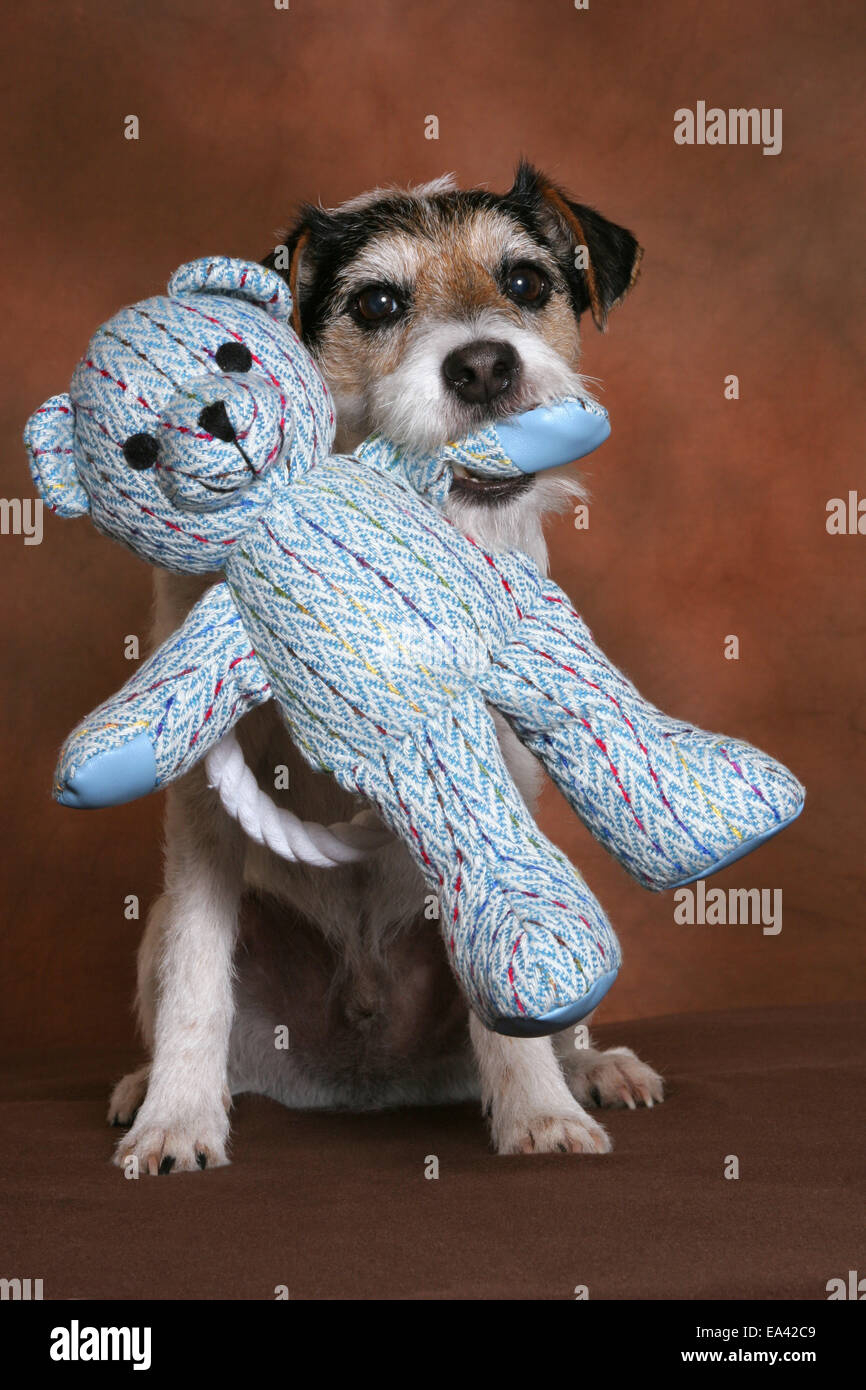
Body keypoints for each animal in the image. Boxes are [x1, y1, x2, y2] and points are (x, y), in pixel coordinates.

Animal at [108, 162, 664, 1173]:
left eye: (525, 281)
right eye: (376, 302)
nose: (484, 366)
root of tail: (368, 1079)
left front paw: (539, 1111)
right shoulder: (204, 801)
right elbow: (197, 976)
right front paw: (177, 1118)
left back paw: (592, 1068)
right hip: (170, 927)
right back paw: (147, 1088)